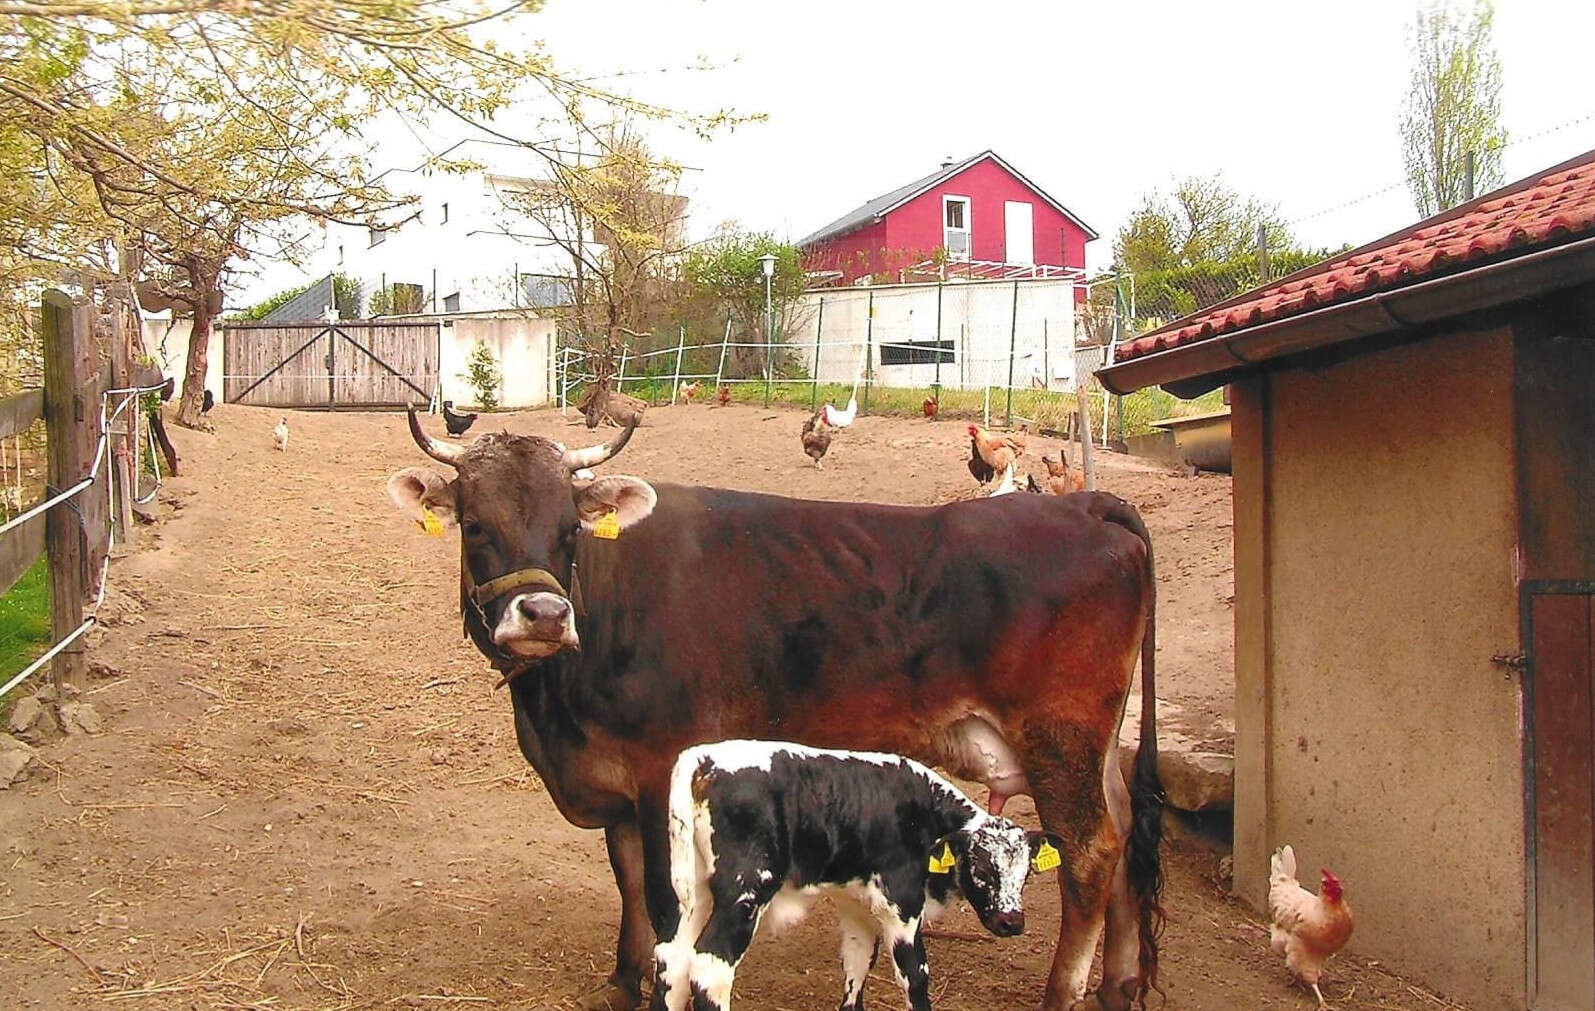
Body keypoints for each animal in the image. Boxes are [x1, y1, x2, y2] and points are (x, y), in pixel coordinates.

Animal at [647, 736, 1059, 1001]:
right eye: (980, 868)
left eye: (1025, 874)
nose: (1011, 921)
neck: (920, 812)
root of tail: (704, 759)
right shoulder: (902, 905)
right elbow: (915, 976)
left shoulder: (857, 907)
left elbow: (857, 967)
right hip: (745, 893)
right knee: (710, 968)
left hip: (695, 892)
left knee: (673, 960)